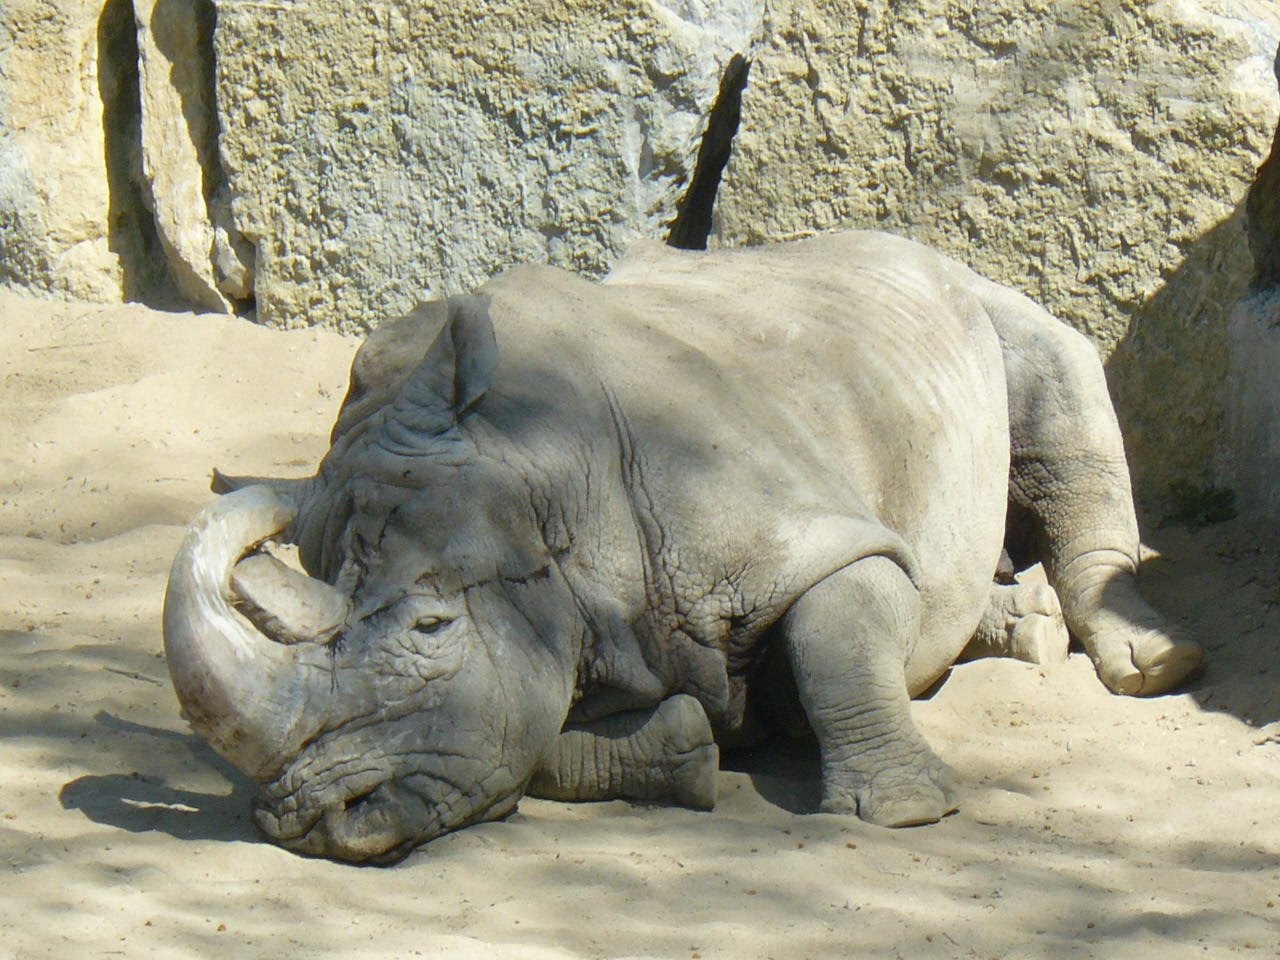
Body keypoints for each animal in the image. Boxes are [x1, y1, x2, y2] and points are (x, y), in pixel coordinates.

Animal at [163, 231, 1201, 863]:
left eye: (429, 627)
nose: (305, 822)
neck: (533, 473)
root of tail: (915, 248)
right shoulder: (549, 630)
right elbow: (524, 736)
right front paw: (693, 751)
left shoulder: (822, 535)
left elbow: (840, 642)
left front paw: (906, 809)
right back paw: (1025, 628)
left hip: (985, 302)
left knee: (1059, 380)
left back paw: (1152, 663)